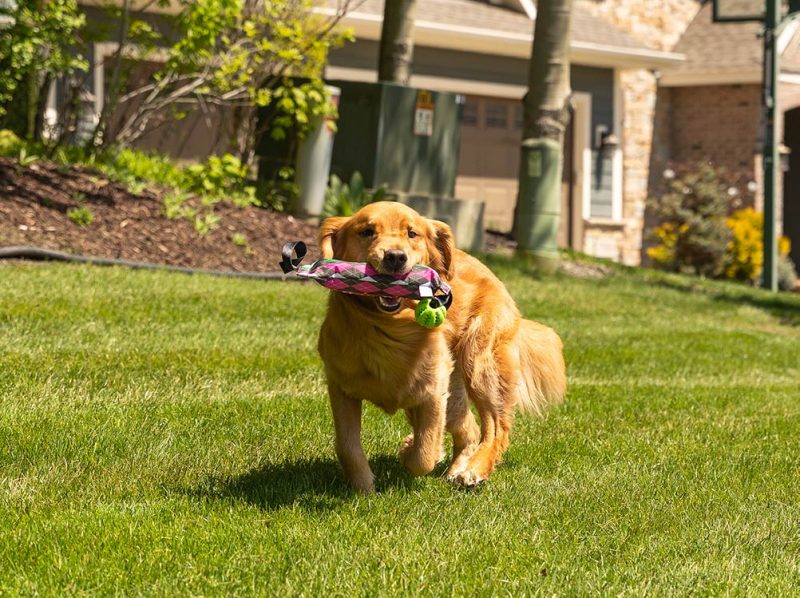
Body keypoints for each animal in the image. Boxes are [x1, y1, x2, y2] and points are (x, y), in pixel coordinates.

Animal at [316, 202, 564, 492]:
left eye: (412, 233)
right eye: (367, 231)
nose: (395, 257)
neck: (388, 326)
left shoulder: (433, 391)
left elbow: (424, 454)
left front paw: (411, 452)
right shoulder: (341, 388)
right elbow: (347, 445)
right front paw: (363, 487)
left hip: (480, 365)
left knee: (495, 427)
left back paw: (474, 470)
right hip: (454, 390)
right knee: (469, 428)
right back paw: (459, 466)